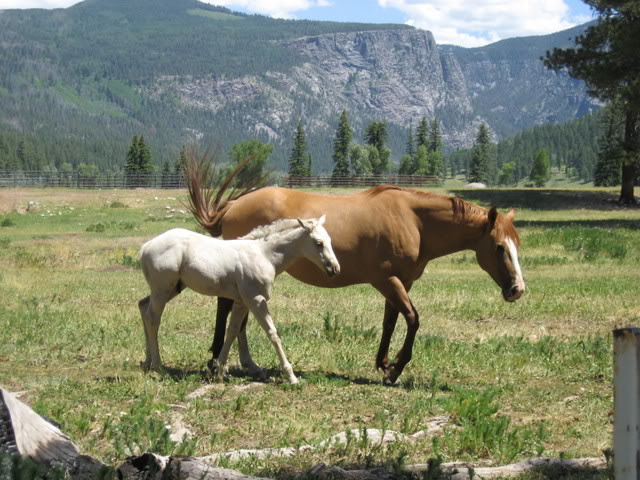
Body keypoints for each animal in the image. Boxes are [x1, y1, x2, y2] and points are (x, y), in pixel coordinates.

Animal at [138, 216, 340, 384]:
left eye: (330, 240)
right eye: (319, 243)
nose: (335, 269)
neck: (265, 255)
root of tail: (146, 246)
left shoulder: (242, 302)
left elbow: (233, 331)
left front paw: (219, 372)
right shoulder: (256, 300)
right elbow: (273, 333)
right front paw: (291, 376)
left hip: (172, 289)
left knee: (143, 306)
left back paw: (147, 362)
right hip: (162, 290)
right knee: (153, 319)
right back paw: (158, 366)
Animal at [186, 167, 524, 384]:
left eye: (517, 244)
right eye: (498, 247)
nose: (517, 289)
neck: (414, 220)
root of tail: (232, 205)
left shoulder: (400, 282)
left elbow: (391, 321)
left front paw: (383, 363)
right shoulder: (386, 280)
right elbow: (413, 319)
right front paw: (396, 369)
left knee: (238, 313)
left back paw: (246, 363)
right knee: (227, 309)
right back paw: (218, 361)